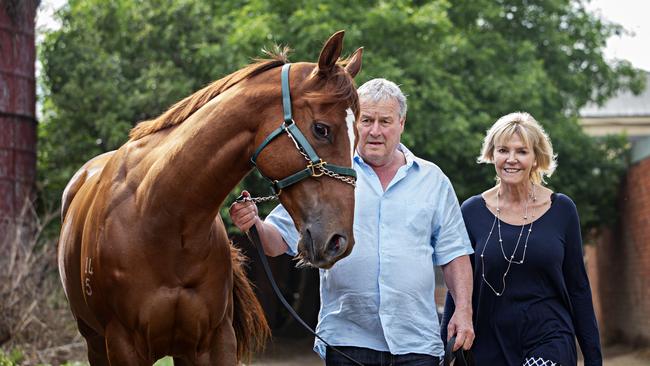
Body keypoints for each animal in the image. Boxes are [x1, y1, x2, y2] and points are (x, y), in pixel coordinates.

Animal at [58, 32, 362, 366]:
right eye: (322, 129)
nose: (338, 241)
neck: (163, 217)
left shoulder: (214, 342)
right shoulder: (123, 345)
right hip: (96, 343)